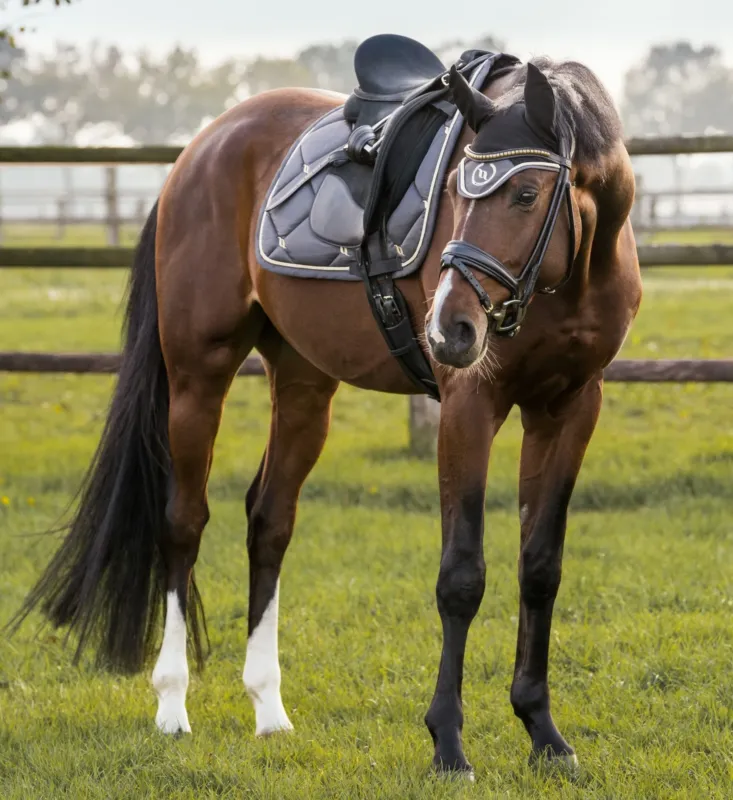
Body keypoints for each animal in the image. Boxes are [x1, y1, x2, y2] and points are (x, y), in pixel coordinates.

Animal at [12, 42, 641, 776]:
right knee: (183, 522)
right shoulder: (470, 405)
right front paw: (448, 744)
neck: (572, 273)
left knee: (269, 522)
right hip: (199, 375)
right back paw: (171, 705)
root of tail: (199, 150)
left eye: (525, 193)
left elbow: (540, 568)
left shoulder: (569, 406)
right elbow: (461, 576)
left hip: (303, 384)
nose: (448, 329)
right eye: (457, 189)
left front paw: (543, 734)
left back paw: (269, 710)